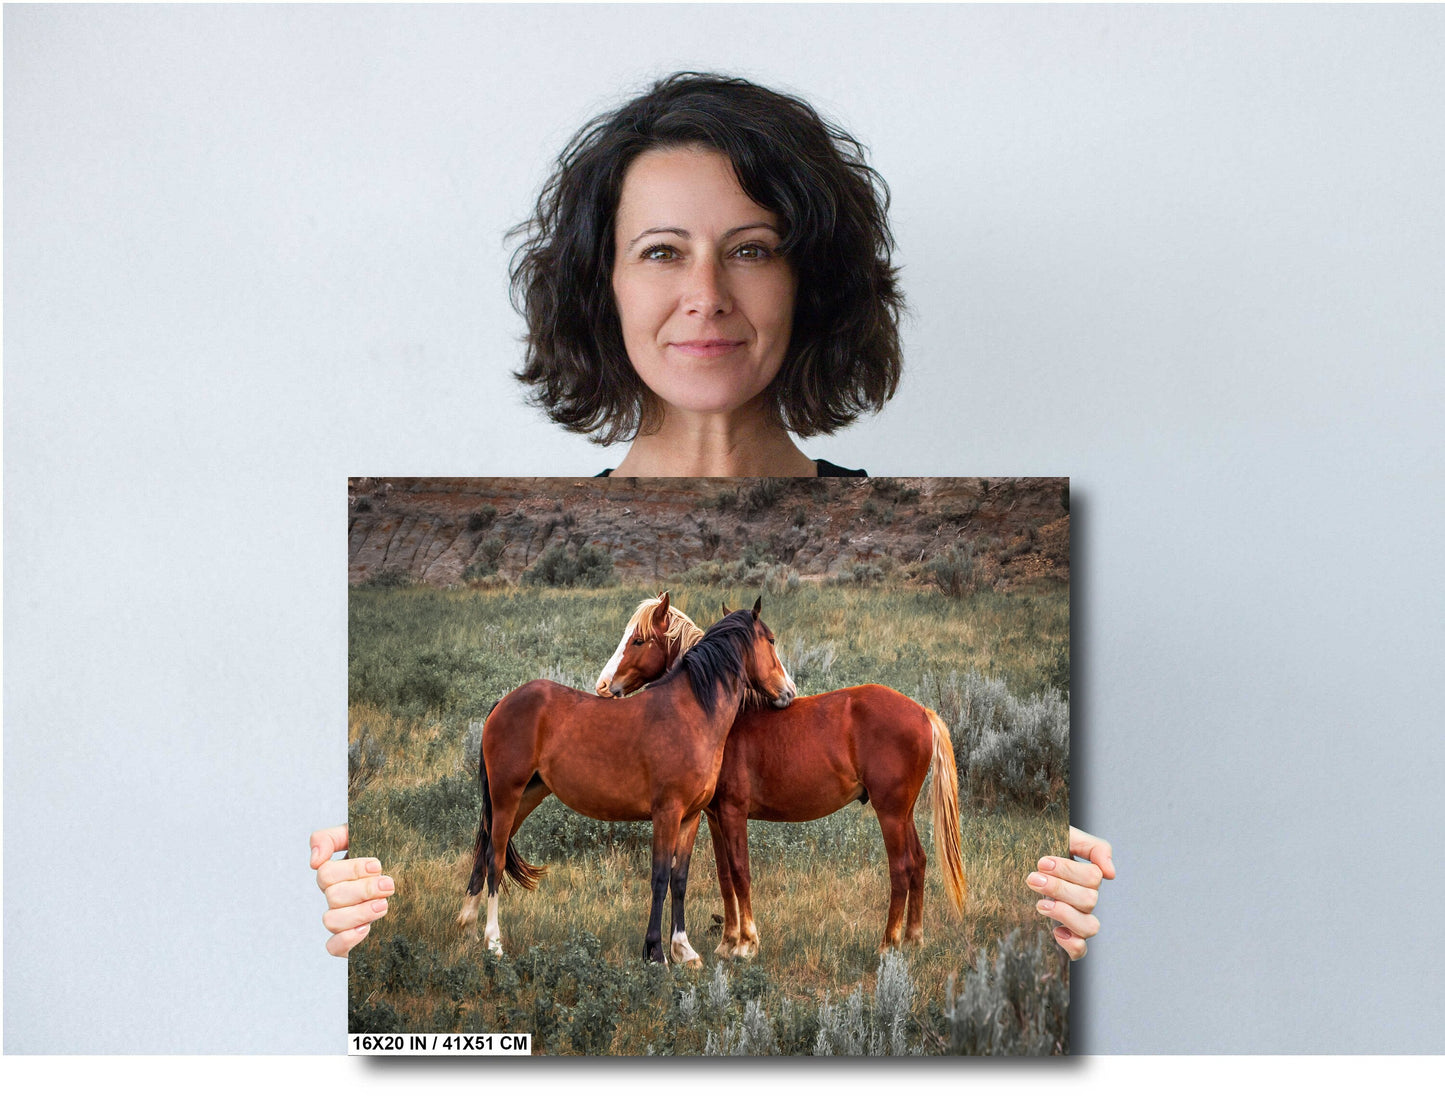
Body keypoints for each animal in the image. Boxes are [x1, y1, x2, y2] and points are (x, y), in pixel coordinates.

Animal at [456, 601, 797, 965]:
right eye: (771, 640)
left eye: (638, 640)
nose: (789, 691)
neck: (690, 714)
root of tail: (504, 703)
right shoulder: (666, 814)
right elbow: (659, 878)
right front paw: (656, 952)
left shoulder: (690, 817)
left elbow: (679, 879)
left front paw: (684, 950)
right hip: (506, 795)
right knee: (495, 859)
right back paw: (493, 941)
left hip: (524, 797)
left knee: (485, 851)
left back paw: (467, 927)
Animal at [598, 601, 971, 959]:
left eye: (638, 640)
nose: (602, 686)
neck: (722, 717)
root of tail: (922, 712)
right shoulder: (715, 817)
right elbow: (724, 876)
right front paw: (727, 942)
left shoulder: (733, 813)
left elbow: (740, 872)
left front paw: (746, 944)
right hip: (903, 813)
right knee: (918, 861)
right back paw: (913, 939)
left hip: (890, 813)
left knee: (901, 867)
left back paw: (888, 944)